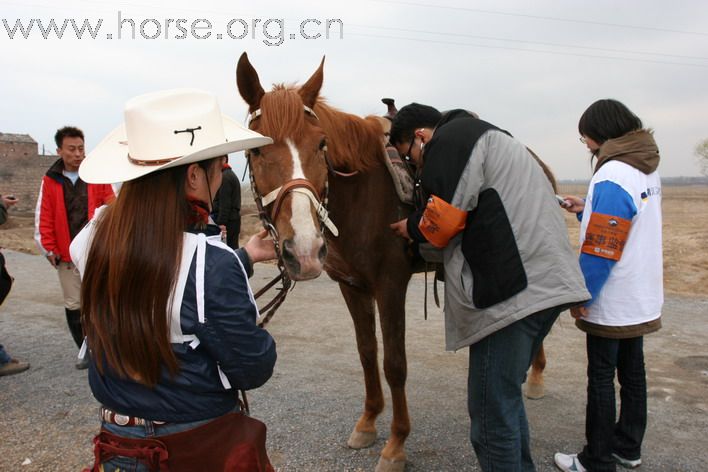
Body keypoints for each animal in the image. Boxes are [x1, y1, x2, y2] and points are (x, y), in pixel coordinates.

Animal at [235, 53, 552, 470]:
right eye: (256, 151)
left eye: (321, 144)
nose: (303, 249)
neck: (361, 194)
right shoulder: (351, 286)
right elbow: (368, 354)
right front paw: (368, 423)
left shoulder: (390, 285)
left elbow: (395, 364)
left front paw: (396, 444)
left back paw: (536, 377)